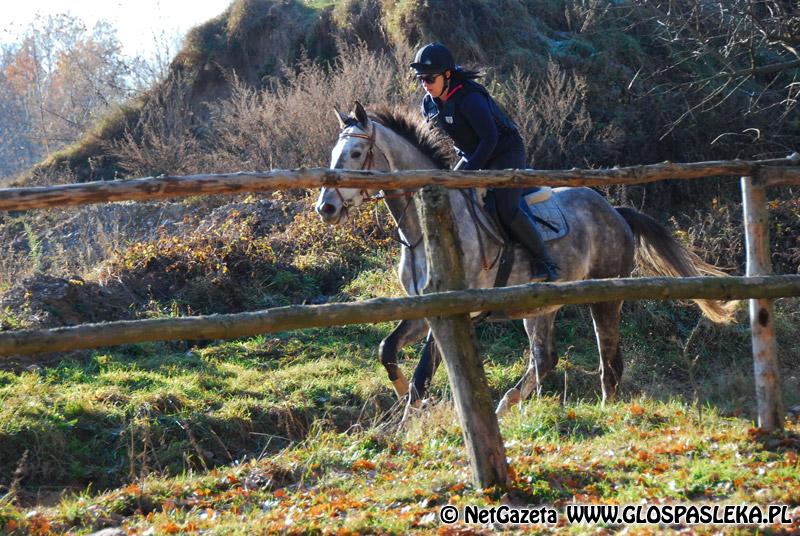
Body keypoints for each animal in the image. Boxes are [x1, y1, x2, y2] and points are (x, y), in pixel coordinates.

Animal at [314, 102, 736, 416]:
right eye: (333, 154)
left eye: (355, 153)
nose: (326, 208)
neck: (424, 231)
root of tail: (615, 211)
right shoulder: (423, 309)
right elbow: (388, 350)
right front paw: (405, 400)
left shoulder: (452, 309)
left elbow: (423, 373)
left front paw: (412, 417)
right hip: (539, 306)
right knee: (545, 358)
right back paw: (506, 405)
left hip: (605, 297)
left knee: (609, 360)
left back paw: (604, 409)